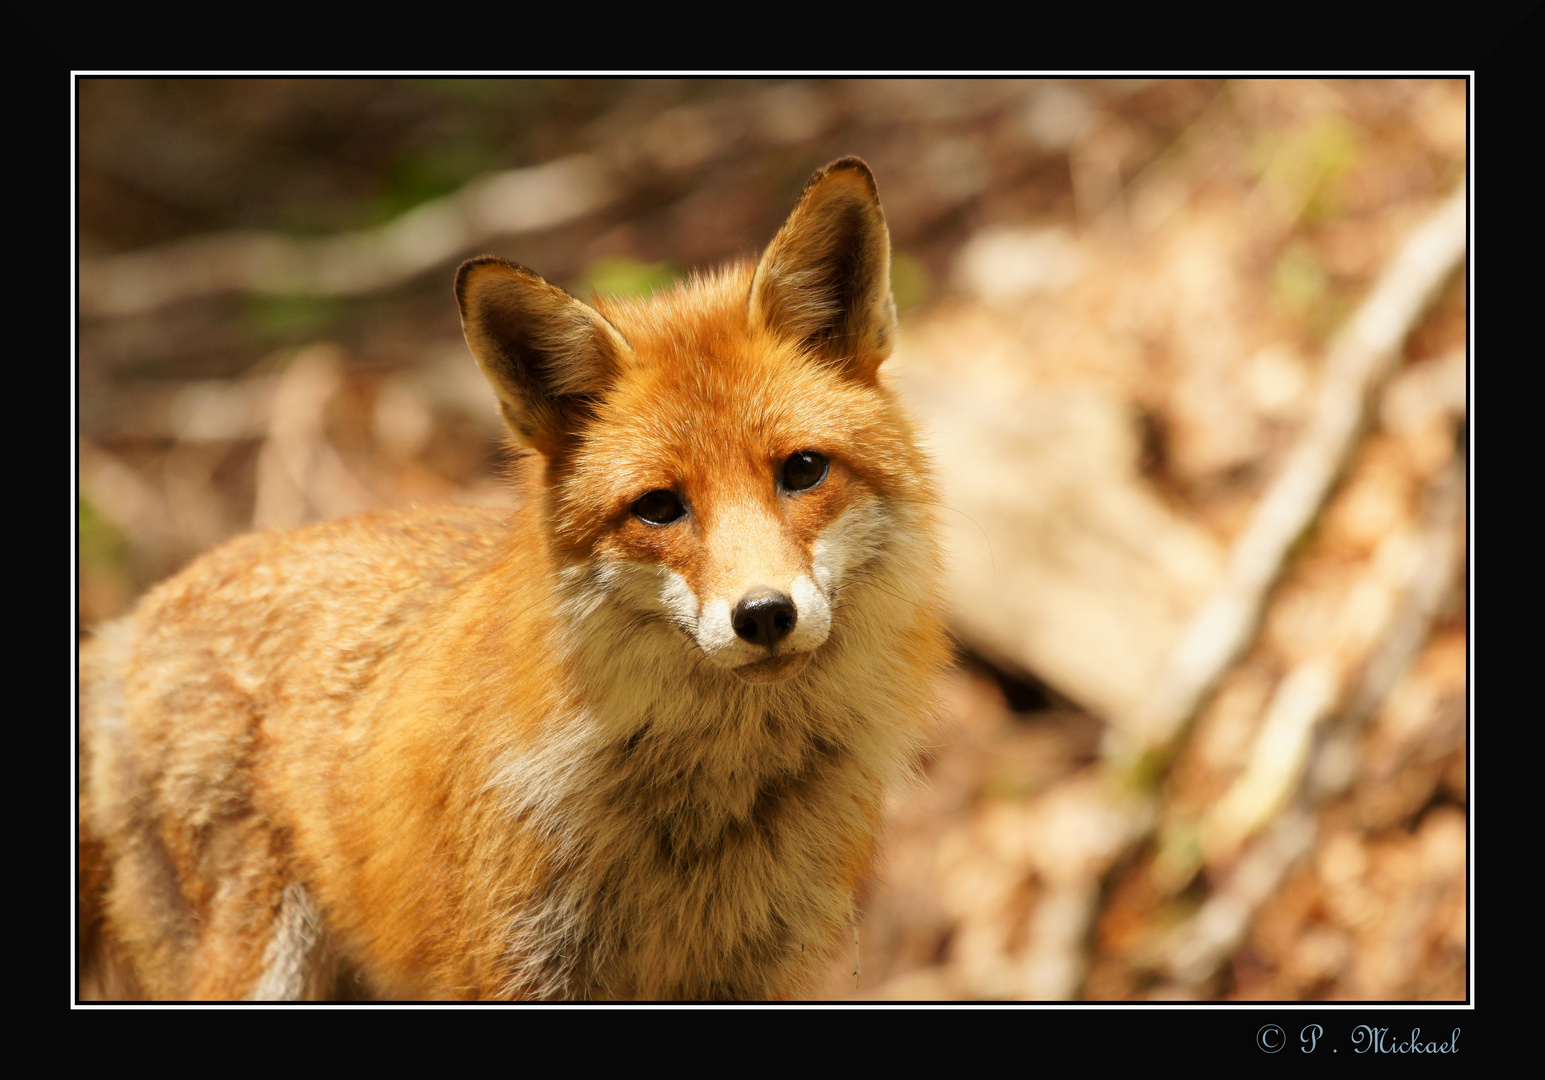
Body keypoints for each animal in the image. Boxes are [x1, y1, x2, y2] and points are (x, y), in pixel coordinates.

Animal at [81, 156, 951, 1001]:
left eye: (802, 471)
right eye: (658, 507)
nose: (763, 614)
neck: (704, 814)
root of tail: (135, 619)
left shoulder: (757, 973)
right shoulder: (512, 966)